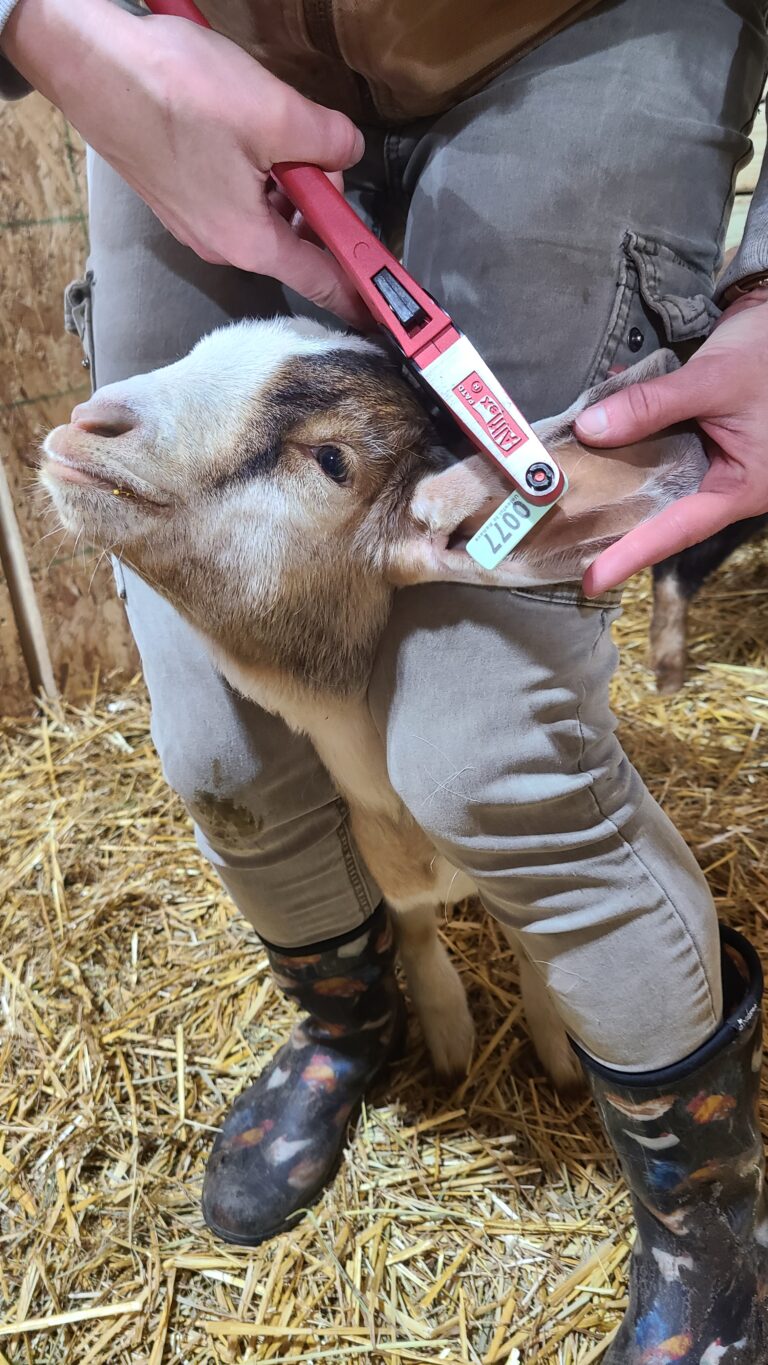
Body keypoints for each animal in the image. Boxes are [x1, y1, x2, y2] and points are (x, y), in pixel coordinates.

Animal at [40, 318, 708, 1088]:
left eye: (332, 460)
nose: (89, 423)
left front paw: (561, 1053)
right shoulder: (387, 877)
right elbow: (413, 933)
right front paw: (448, 1035)